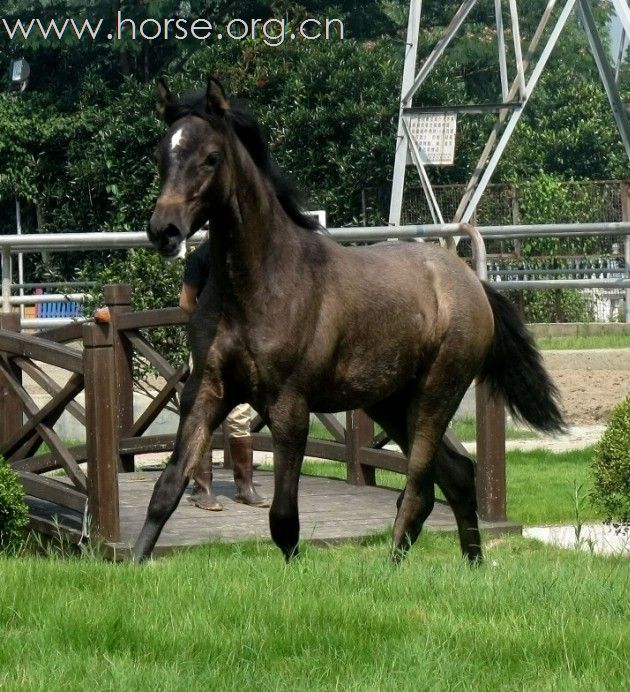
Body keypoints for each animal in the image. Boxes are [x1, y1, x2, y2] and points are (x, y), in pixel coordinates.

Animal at [132, 77, 564, 564]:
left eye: (211, 157)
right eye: (160, 155)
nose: (164, 229)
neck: (258, 285)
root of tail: (472, 284)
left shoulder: (289, 405)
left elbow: (284, 517)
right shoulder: (205, 392)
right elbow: (166, 489)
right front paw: (134, 561)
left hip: (436, 394)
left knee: (419, 487)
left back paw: (396, 566)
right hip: (390, 402)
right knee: (455, 474)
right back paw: (471, 565)